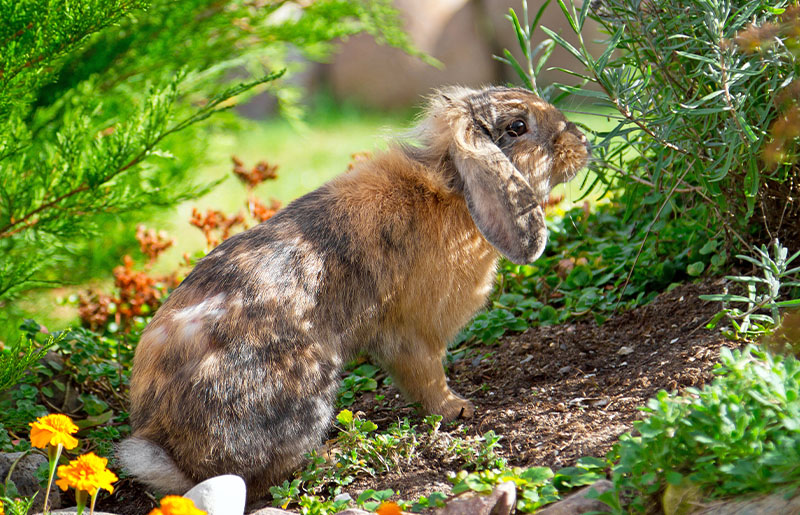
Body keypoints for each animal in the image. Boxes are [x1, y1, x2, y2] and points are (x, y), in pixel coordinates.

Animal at [119, 86, 592, 502]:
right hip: (308, 383)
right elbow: (426, 377)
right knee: (271, 475)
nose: (582, 141)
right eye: (518, 126)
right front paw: (458, 409)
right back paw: (334, 453)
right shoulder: (413, 336)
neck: (453, 187)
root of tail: (180, 459)